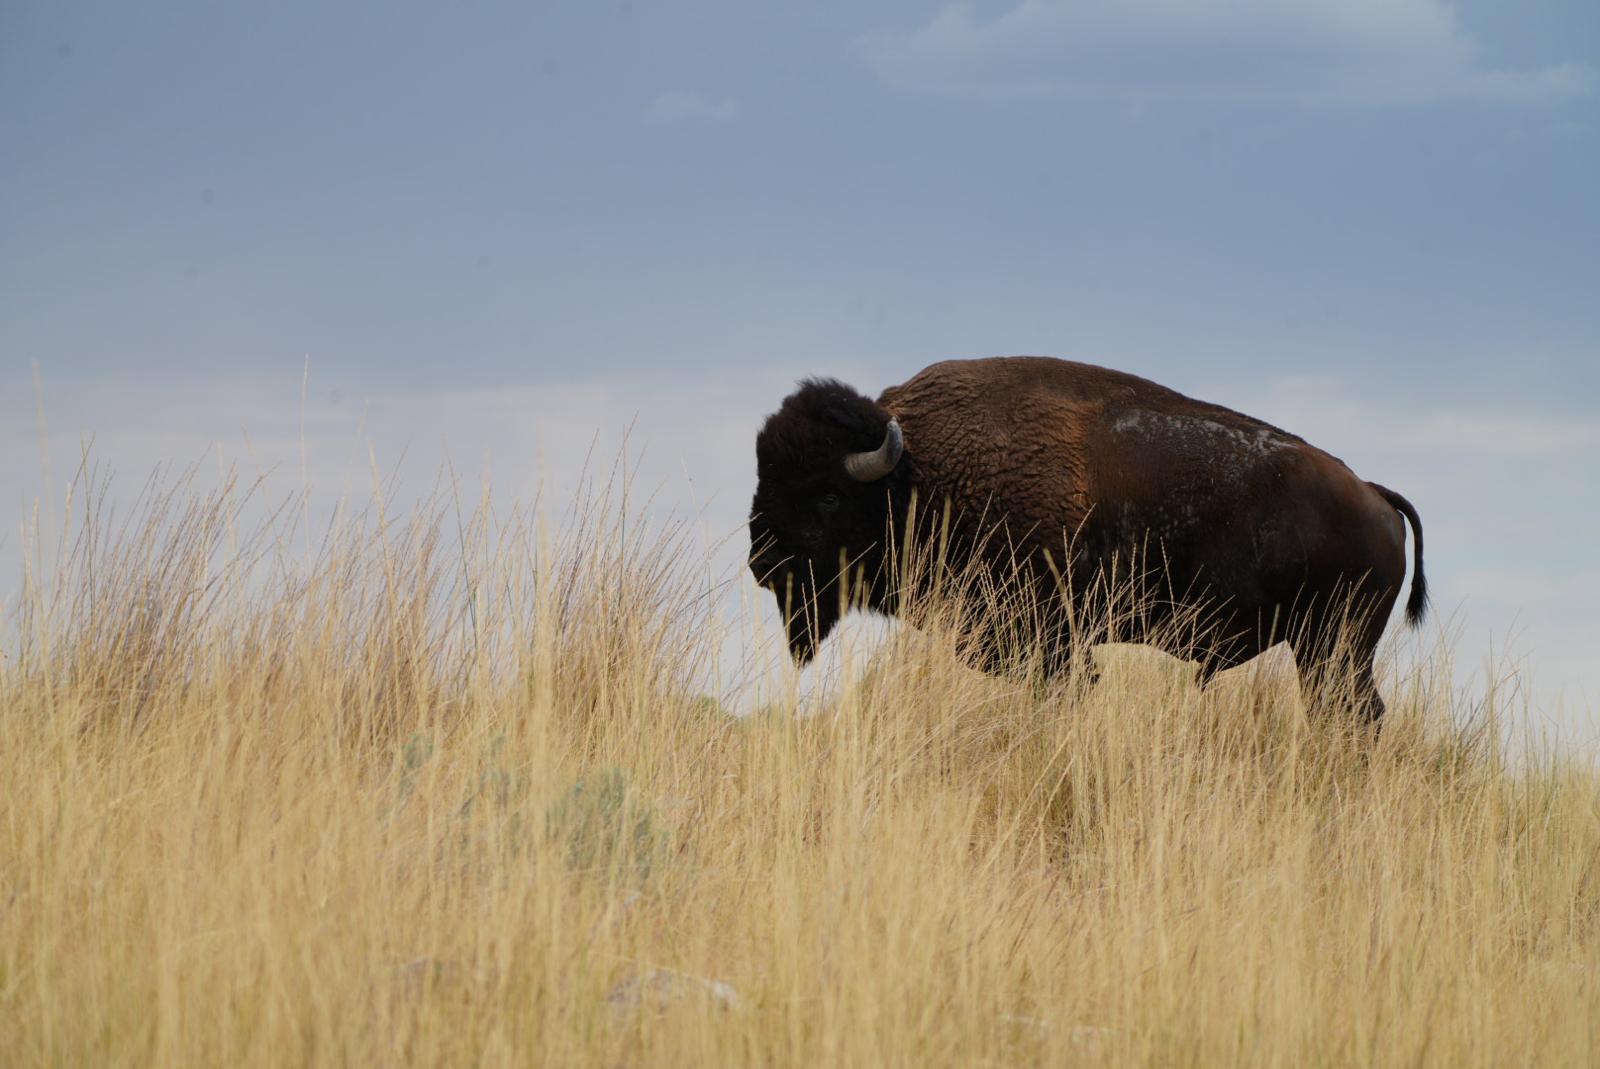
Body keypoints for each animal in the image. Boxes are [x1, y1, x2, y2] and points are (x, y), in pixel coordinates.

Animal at [748, 356, 1426, 722]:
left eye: (828, 495)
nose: (761, 564)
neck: (917, 474)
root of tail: (1372, 494)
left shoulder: (1047, 640)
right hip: (1323, 651)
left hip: (1333, 648)